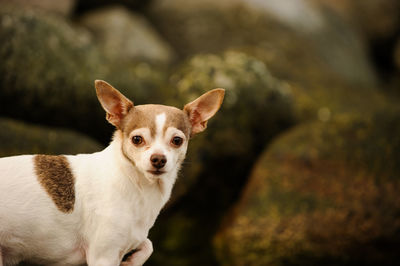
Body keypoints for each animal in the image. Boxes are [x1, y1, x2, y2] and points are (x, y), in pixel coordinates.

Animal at [0, 80, 223, 266]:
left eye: (177, 140)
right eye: (137, 139)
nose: (158, 159)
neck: (137, 185)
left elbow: (148, 244)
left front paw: (132, 261)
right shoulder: (103, 256)